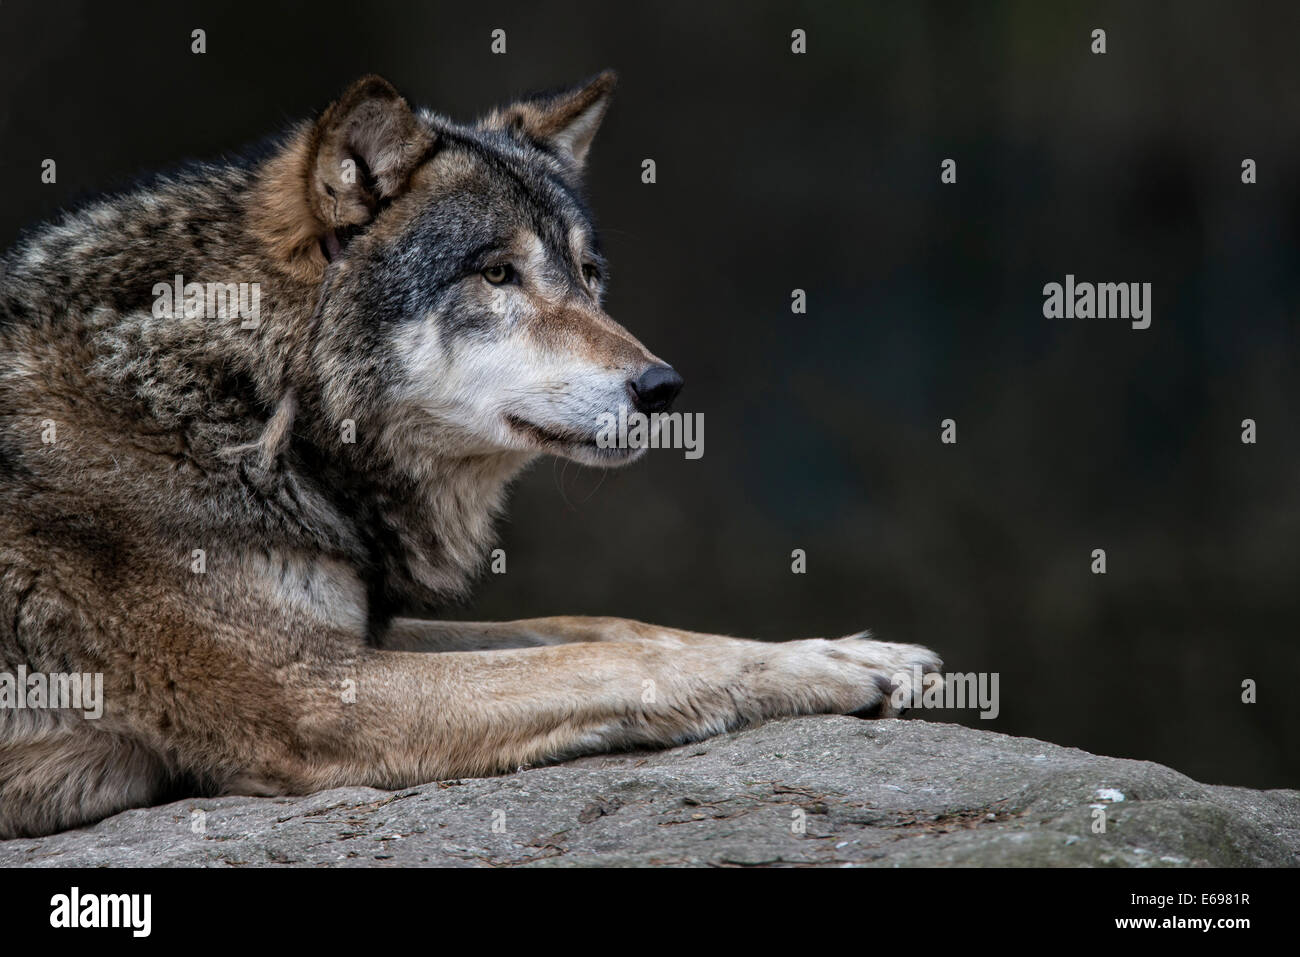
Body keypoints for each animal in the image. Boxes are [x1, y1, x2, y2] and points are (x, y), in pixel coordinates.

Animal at [0, 72, 941, 837]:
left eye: (588, 274)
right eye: (495, 274)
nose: (662, 387)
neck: (242, 401)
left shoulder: (360, 637)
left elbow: (604, 625)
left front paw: (859, 653)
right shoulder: (316, 698)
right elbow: (611, 657)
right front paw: (826, 665)